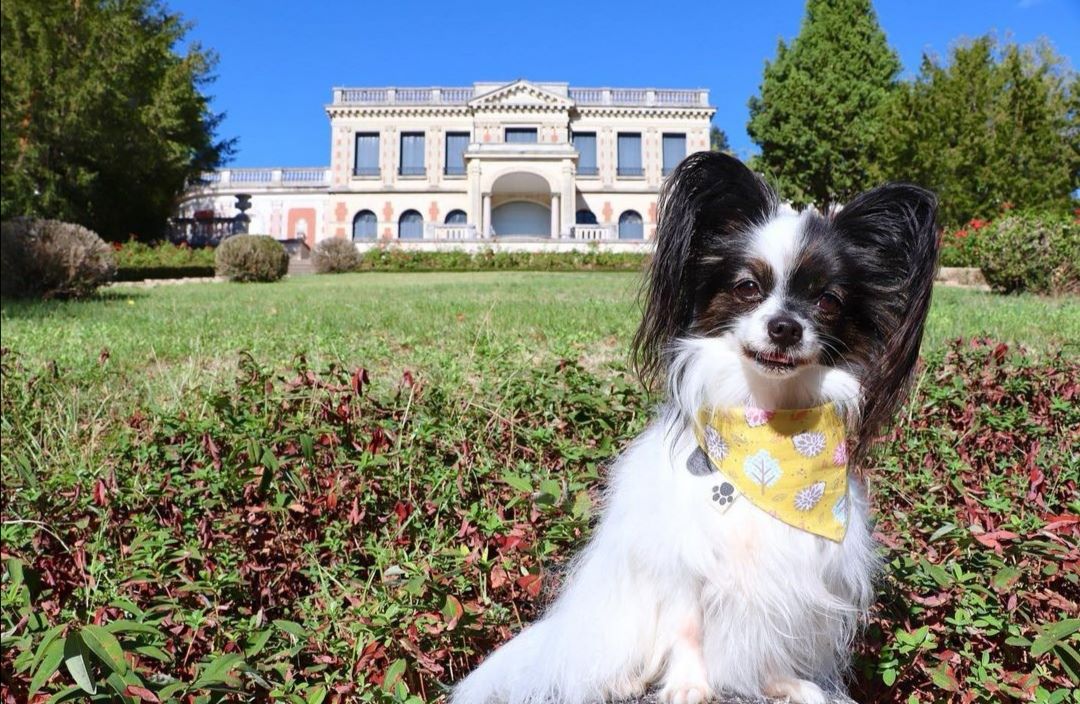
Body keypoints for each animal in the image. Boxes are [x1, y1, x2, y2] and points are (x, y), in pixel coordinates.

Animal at [451, 152, 941, 704]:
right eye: (748, 287)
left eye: (828, 301)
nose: (784, 327)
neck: (768, 430)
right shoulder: (684, 556)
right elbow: (687, 627)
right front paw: (688, 685)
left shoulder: (792, 571)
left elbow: (775, 632)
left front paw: (783, 683)